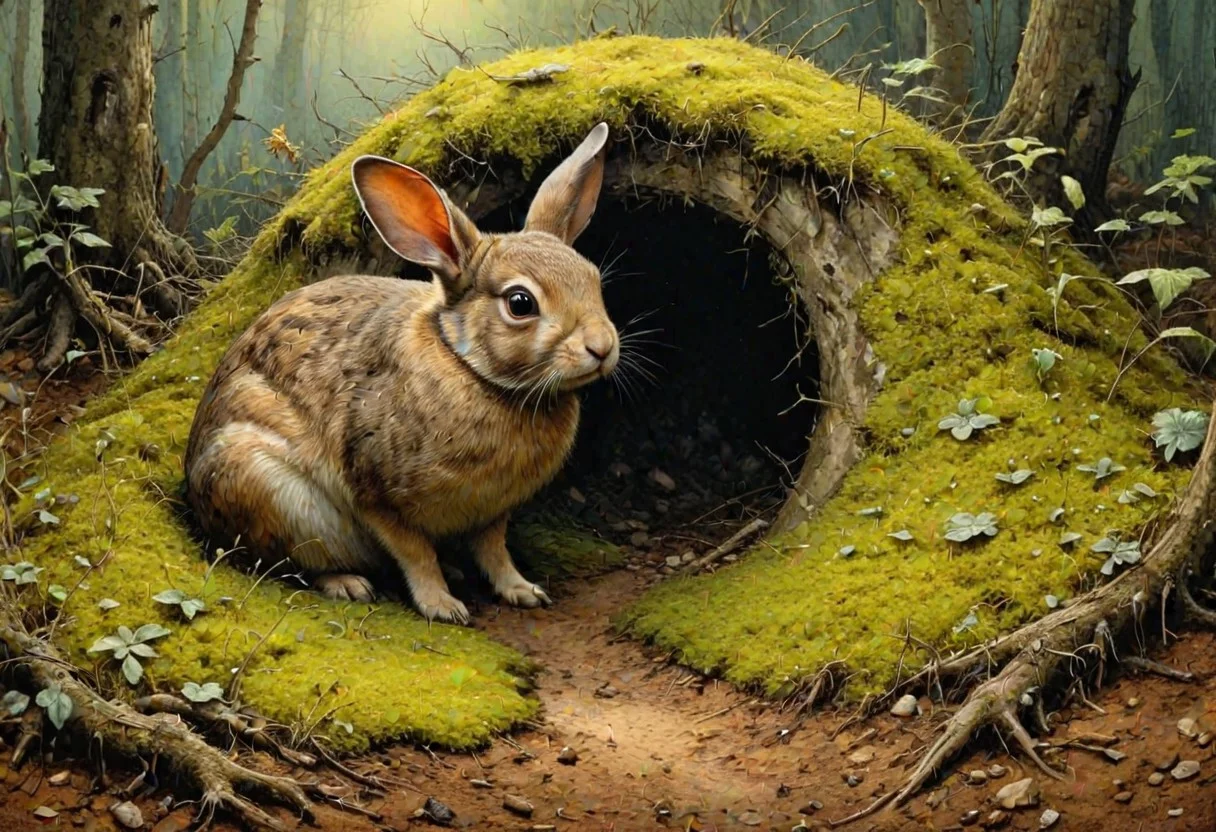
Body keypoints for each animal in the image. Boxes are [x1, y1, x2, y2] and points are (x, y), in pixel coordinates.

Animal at [184, 123, 619, 624]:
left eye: (594, 280)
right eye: (520, 303)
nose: (602, 347)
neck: (472, 368)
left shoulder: (492, 510)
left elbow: (494, 551)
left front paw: (523, 591)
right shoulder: (378, 496)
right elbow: (415, 553)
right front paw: (443, 607)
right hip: (264, 487)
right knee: (288, 561)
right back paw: (348, 583)